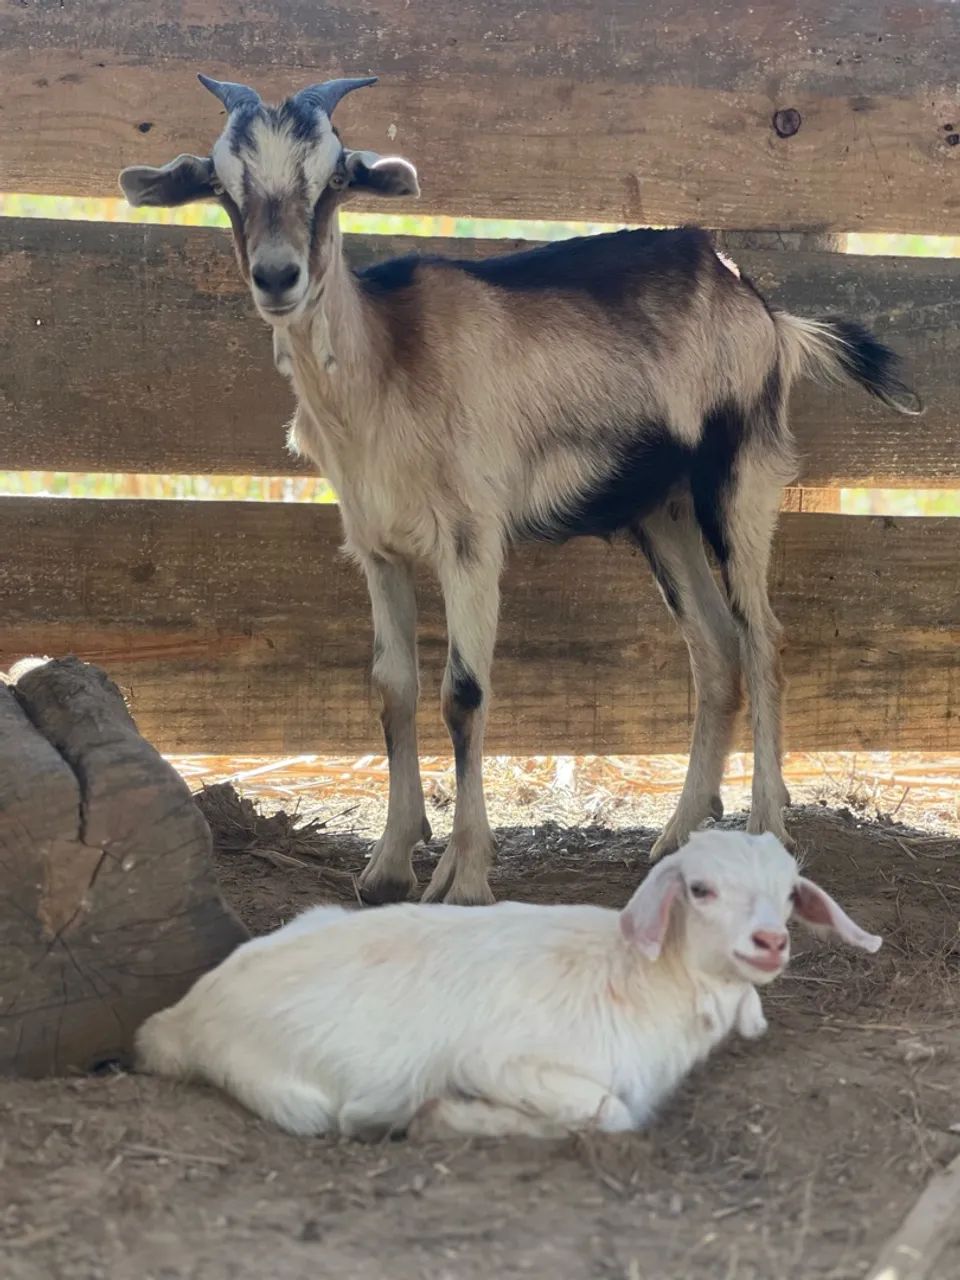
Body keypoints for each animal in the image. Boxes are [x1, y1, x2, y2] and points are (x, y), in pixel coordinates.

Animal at [120, 75, 921, 906]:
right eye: (223, 185)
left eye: (335, 178)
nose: (278, 277)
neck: (386, 365)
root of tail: (765, 310)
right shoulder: (378, 549)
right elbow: (392, 688)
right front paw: (389, 864)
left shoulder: (473, 541)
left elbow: (462, 694)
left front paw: (466, 875)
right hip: (660, 513)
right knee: (715, 649)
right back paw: (676, 836)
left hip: (738, 481)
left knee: (764, 642)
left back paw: (766, 829)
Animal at [135, 830, 882, 1139]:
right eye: (700, 889)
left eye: (790, 895)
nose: (770, 942)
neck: (646, 981)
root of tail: (176, 1019)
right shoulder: (498, 1060)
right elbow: (612, 1114)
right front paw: (445, 1117)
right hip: (292, 1096)